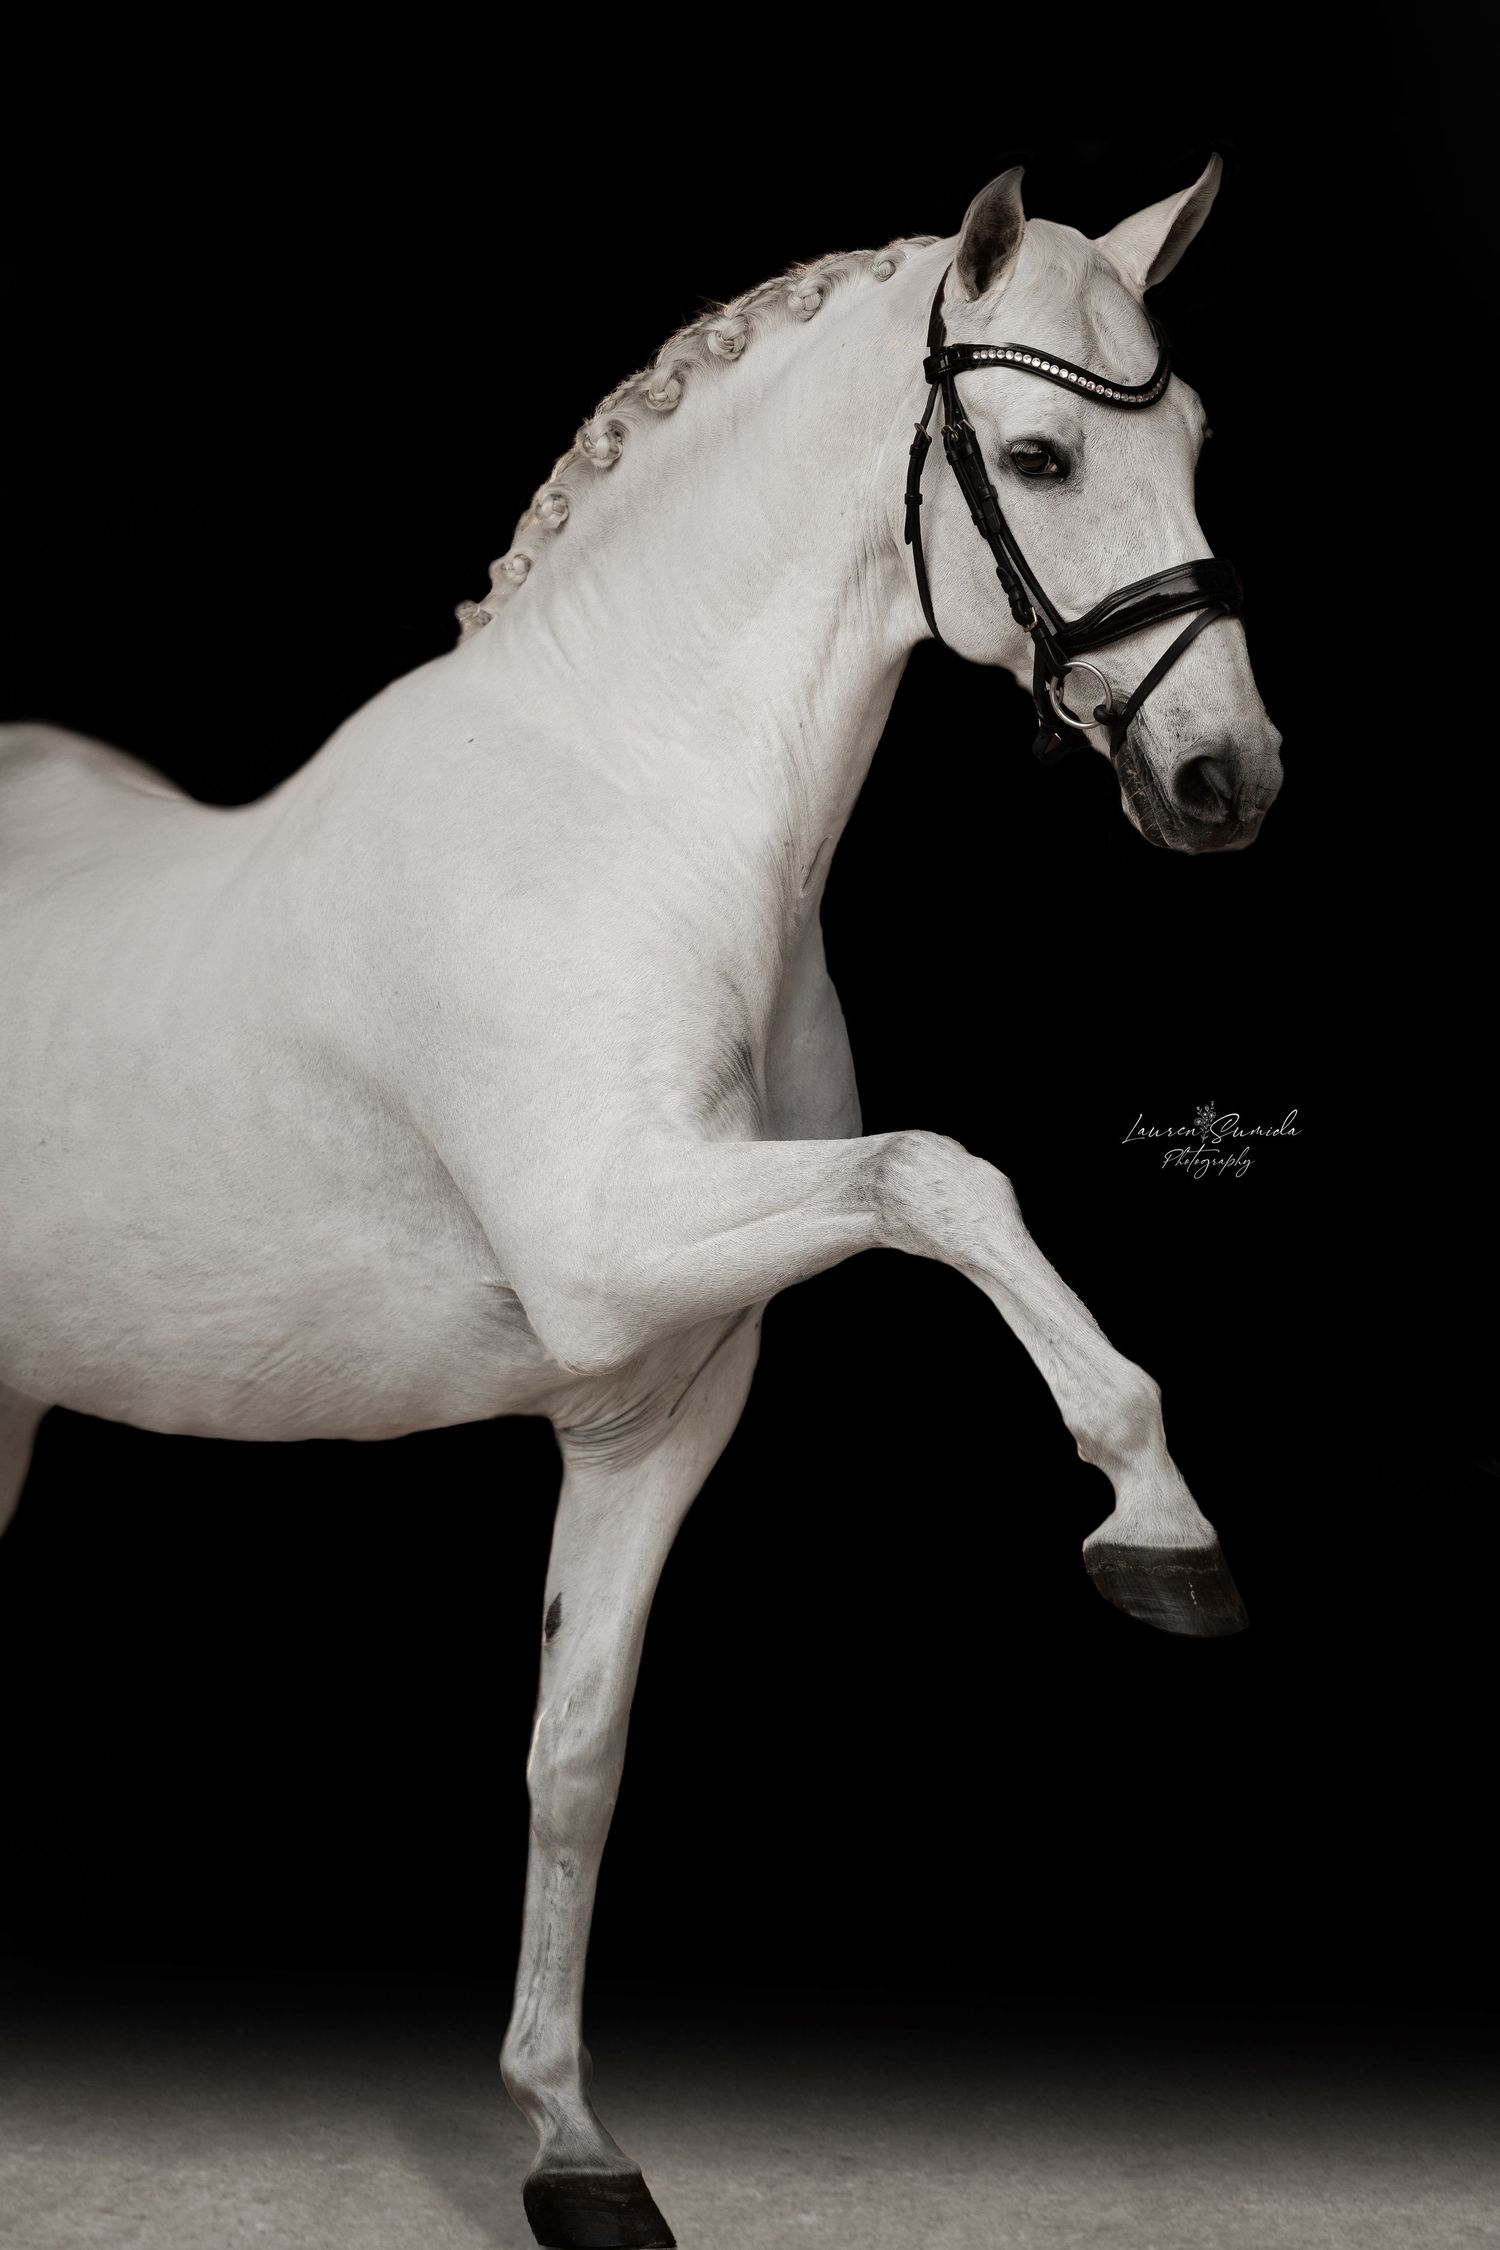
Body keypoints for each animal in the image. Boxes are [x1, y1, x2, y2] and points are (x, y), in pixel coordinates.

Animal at [0, 158, 1281, 2248]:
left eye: (1192, 442)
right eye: (1038, 454)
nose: (1223, 775)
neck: (627, 812)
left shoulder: (652, 1402)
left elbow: (576, 1757)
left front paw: (572, 2146)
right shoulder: (613, 1246)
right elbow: (946, 1174)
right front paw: (1156, 1521)